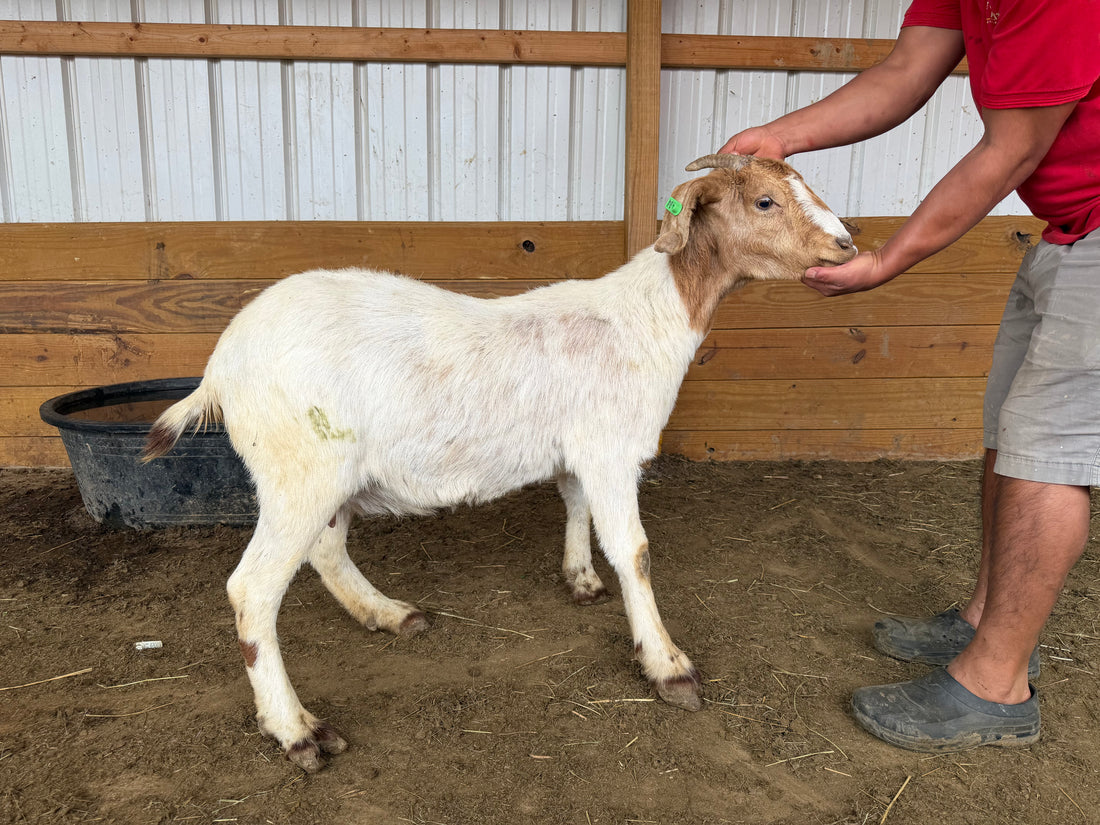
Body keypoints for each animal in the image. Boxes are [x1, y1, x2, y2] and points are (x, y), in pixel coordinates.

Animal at [144, 154, 856, 772]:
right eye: (764, 201)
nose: (847, 246)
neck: (649, 318)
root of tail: (221, 364)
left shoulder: (575, 449)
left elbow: (574, 505)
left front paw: (580, 579)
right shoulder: (610, 446)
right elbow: (636, 552)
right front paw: (668, 665)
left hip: (328, 476)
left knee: (325, 550)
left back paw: (387, 614)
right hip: (300, 467)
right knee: (253, 590)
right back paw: (296, 730)